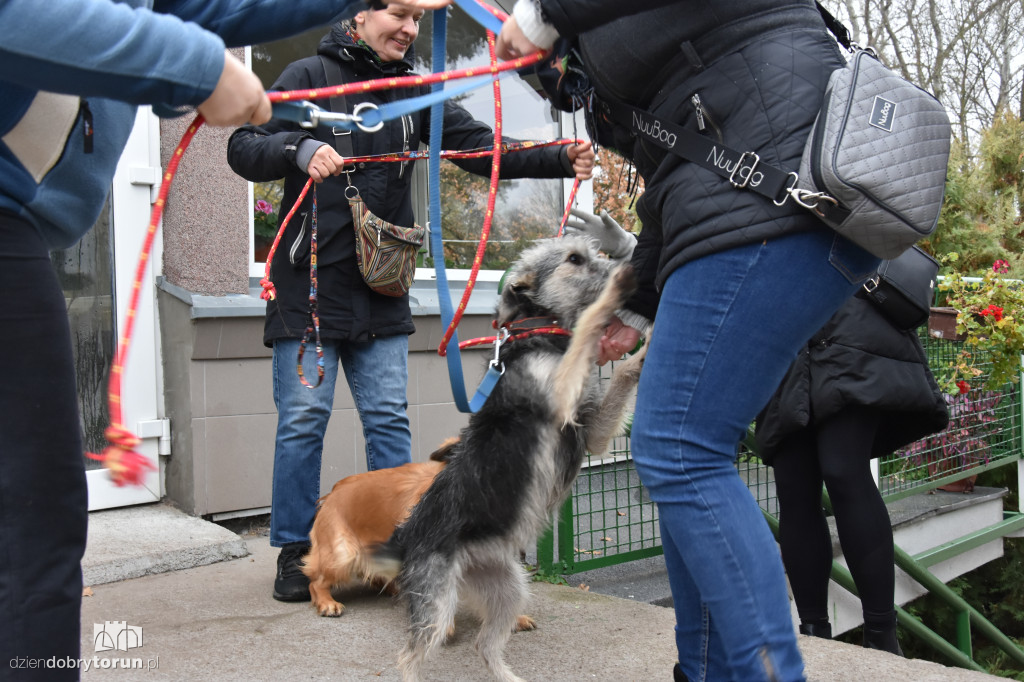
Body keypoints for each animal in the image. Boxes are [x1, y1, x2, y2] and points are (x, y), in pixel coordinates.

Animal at [374, 235, 647, 679]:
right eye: (575, 259)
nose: (633, 265)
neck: (540, 332)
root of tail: (406, 538)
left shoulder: (592, 433)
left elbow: (623, 372)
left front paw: (645, 350)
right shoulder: (562, 397)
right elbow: (589, 325)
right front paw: (614, 292)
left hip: (508, 586)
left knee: (485, 645)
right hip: (437, 603)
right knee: (408, 656)